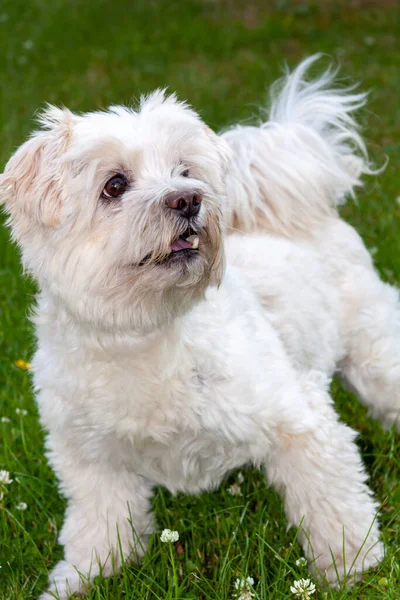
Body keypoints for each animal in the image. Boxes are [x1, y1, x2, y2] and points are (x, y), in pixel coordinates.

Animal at [1, 56, 398, 600]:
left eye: (185, 172)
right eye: (114, 184)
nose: (188, 199)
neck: (144, 336)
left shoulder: (300, 420)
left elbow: (335, 509)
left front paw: (353, 572)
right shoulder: (90, 460)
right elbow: (98, 528)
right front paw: (85, 579)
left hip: (375, 356)